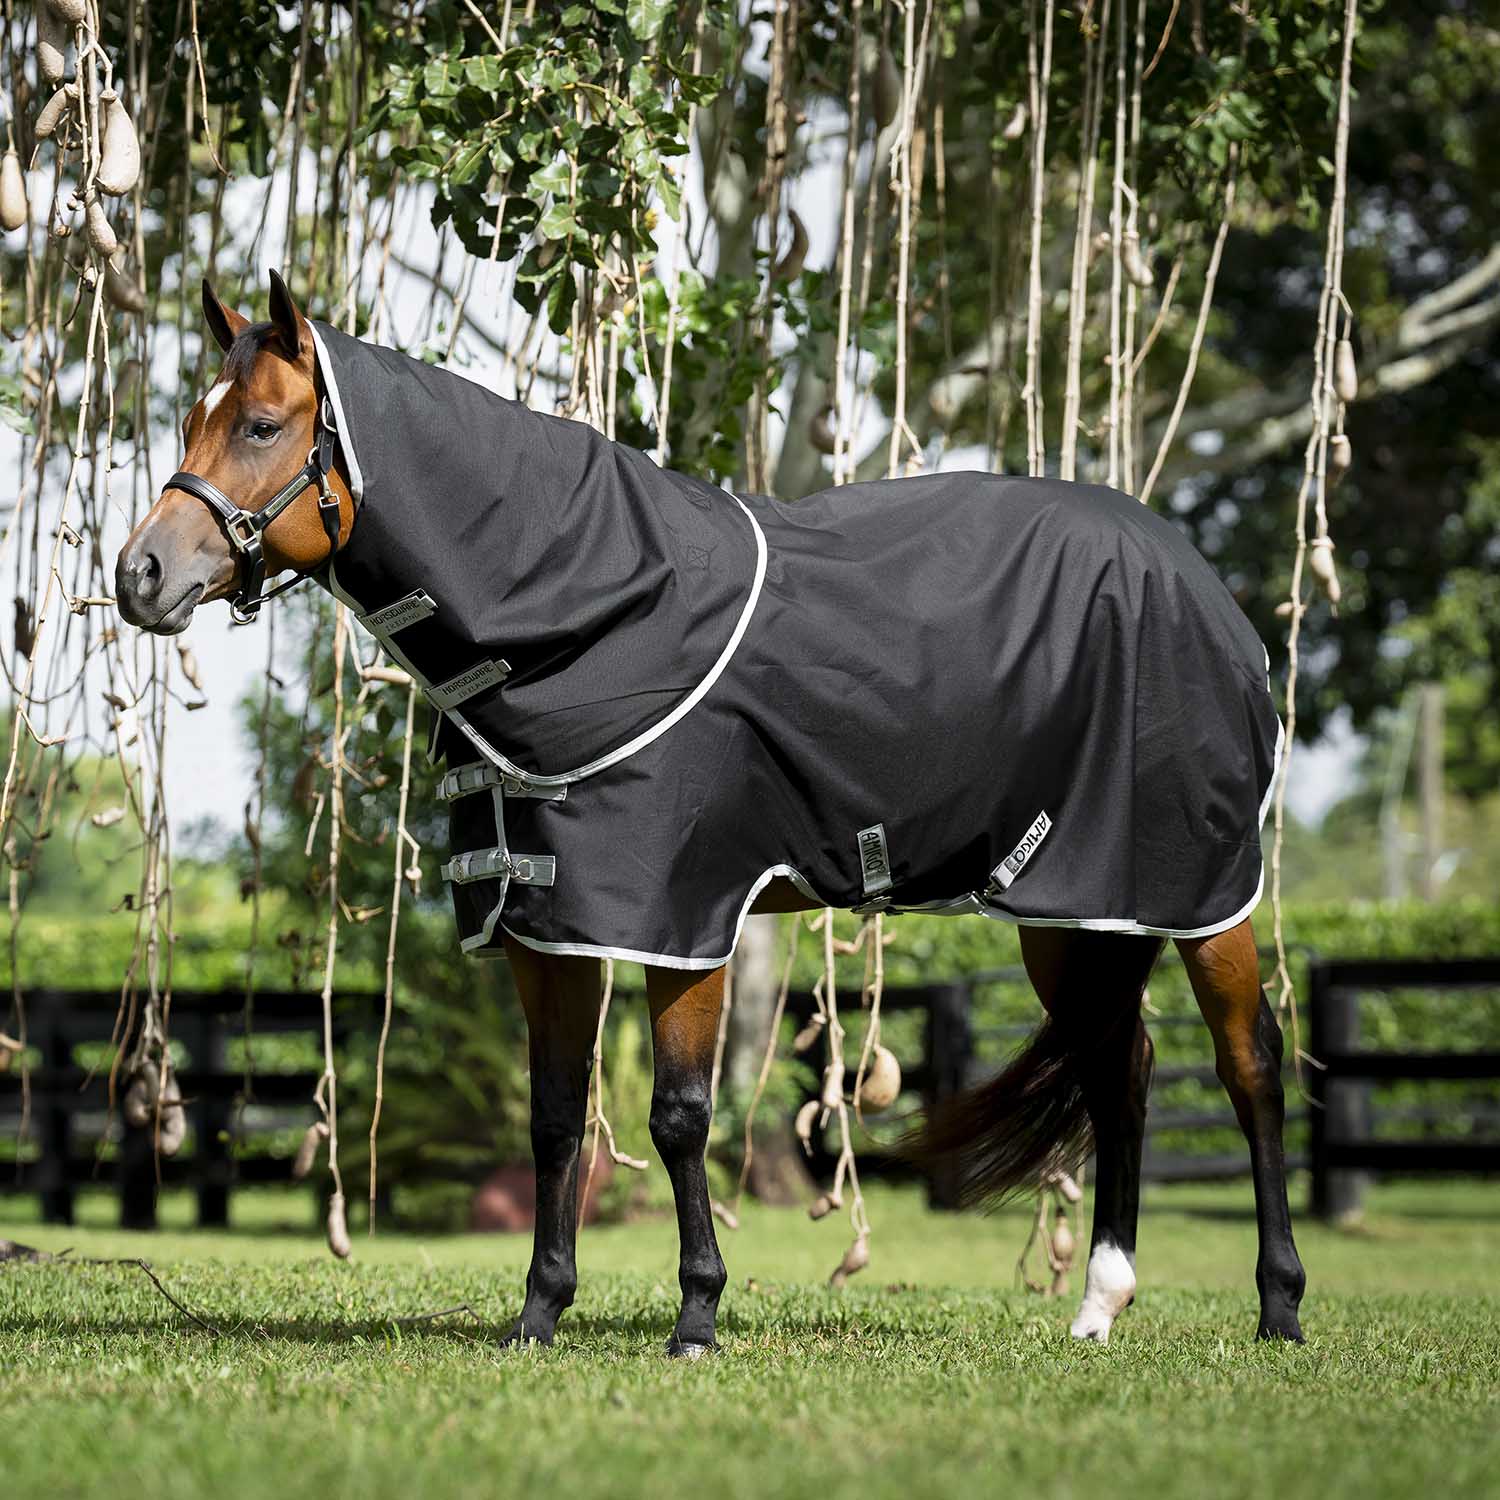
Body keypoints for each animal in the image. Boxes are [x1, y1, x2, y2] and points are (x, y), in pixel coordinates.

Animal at [114, 272, 1305, 1355]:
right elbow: (557, 1117)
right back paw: (1100, 1304)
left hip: (1201, 894)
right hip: (1074, 907)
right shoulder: (549, 929)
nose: (141, 574)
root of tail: (1199, 582)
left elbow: (679, 1115)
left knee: (1249, 1067)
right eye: (193, 421)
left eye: (262, 424)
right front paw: (539, 1314)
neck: (594, 611)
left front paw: (696, 1316)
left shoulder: (681, 920)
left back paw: (1279, 1307)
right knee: (1120, 1070)